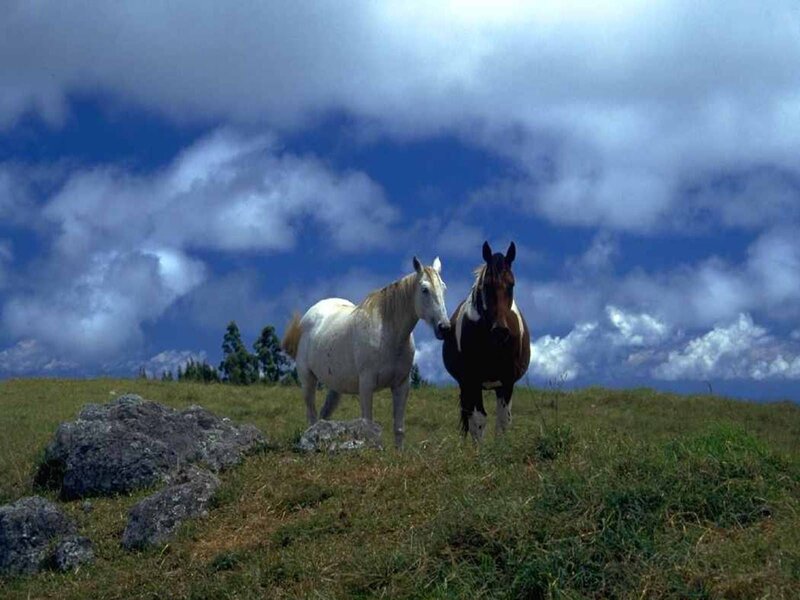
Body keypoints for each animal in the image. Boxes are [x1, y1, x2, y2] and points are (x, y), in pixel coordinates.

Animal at [281, 257, 450, 448]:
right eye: (424, 290)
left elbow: (399, 428)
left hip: (335, 386)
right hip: (307, 380)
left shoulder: (401, 385)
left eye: (443, 288)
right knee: (311, 416)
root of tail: (307, 317)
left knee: (323, 417)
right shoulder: (366, 385)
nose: (444, 328)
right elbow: (368, 424)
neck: (388, 335)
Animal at [442, 241, 531, 441]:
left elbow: (503, 421)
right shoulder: (471, 380)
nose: (500, 330)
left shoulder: (507, 381)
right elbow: (478, 421)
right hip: (466, 386)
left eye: (511, 284)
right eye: (487, 285)